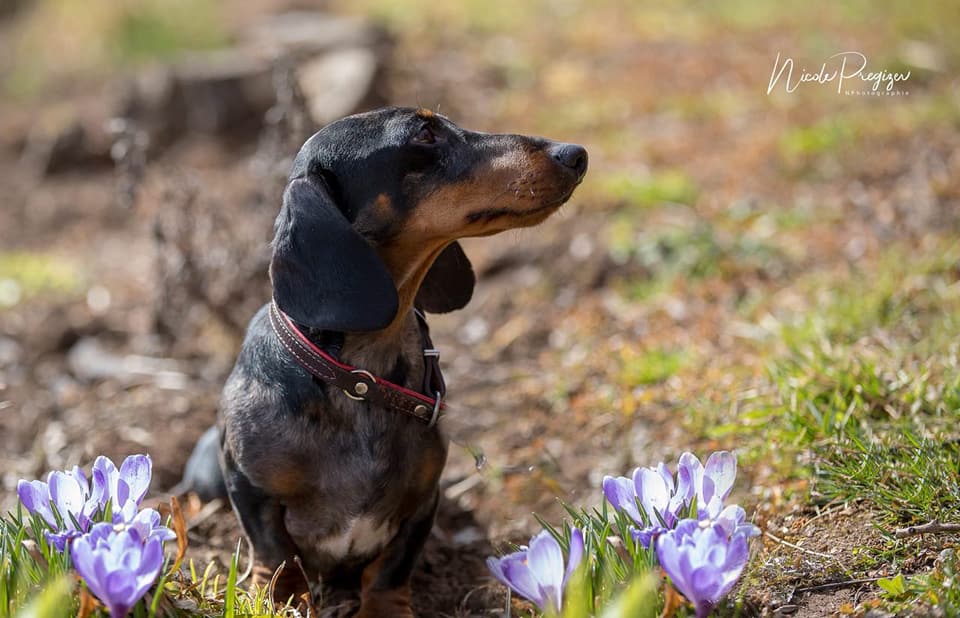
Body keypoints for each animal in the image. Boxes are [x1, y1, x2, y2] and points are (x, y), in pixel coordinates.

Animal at [180, 106, 584, 612]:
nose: (576, 154)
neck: (358, 379)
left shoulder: (422, 501)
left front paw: (386, 607)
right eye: (425, 134)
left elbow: (391, 568)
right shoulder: (249, 490)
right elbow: (277, 556)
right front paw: (286, 602)